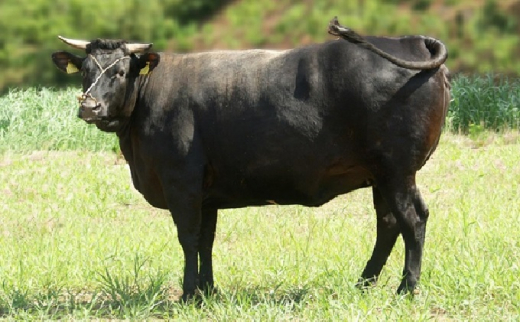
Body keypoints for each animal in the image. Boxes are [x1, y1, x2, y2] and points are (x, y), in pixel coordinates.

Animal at [51, 17, 450, 302]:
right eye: (85, 71)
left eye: (119, 72)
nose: (89, 106)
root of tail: (409, 41)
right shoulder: (206, 193)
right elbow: (206, 239)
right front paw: (207, 292)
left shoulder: (182, 182)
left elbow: (188, 237)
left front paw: (188, 294)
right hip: (381, 175)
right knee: (389, 224)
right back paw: (364, 284)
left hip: (397, 171)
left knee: (412, 220)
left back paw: (406, 289)